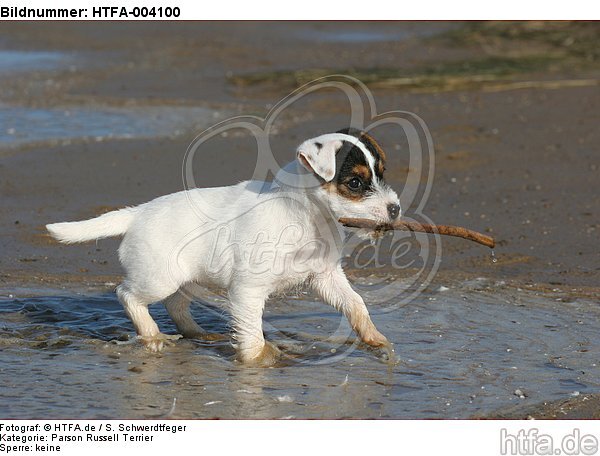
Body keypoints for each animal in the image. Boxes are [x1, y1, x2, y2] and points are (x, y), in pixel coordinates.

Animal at [47, 127, 400, 364]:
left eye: (382, 174)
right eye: (354, 183)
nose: (395, 209)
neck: (304, 216)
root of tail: (137, 213)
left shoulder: (324, 276)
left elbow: (355, 303)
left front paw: (375, 338)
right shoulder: (248, 291)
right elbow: (252, 336)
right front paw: (258, 365)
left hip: (184, 278)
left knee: (176, 305)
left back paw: (198, 334)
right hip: (158, 278)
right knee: (127, 295)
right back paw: (152, 335)